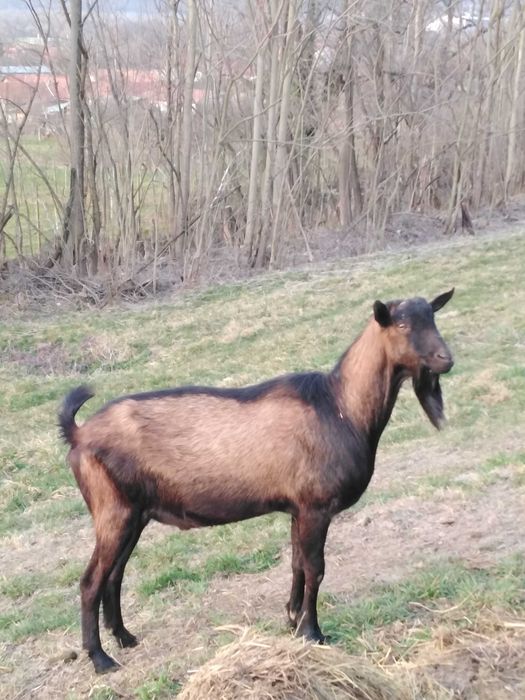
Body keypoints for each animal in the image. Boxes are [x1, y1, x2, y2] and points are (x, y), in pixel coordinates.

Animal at [59, 289, 454, 673]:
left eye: (432, 316)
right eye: (401, 324)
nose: (445, 359)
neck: (341, 407)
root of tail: (79, 435)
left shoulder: (298, 507)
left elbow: (297, 562)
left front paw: (292, 618)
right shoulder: (316, 506)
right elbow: (316, 568)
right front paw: (312, 632)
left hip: (134, 513)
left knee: (114, 575)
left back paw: (124, 637)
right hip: (113, 510)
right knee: (91, 581)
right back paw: (101, 659)